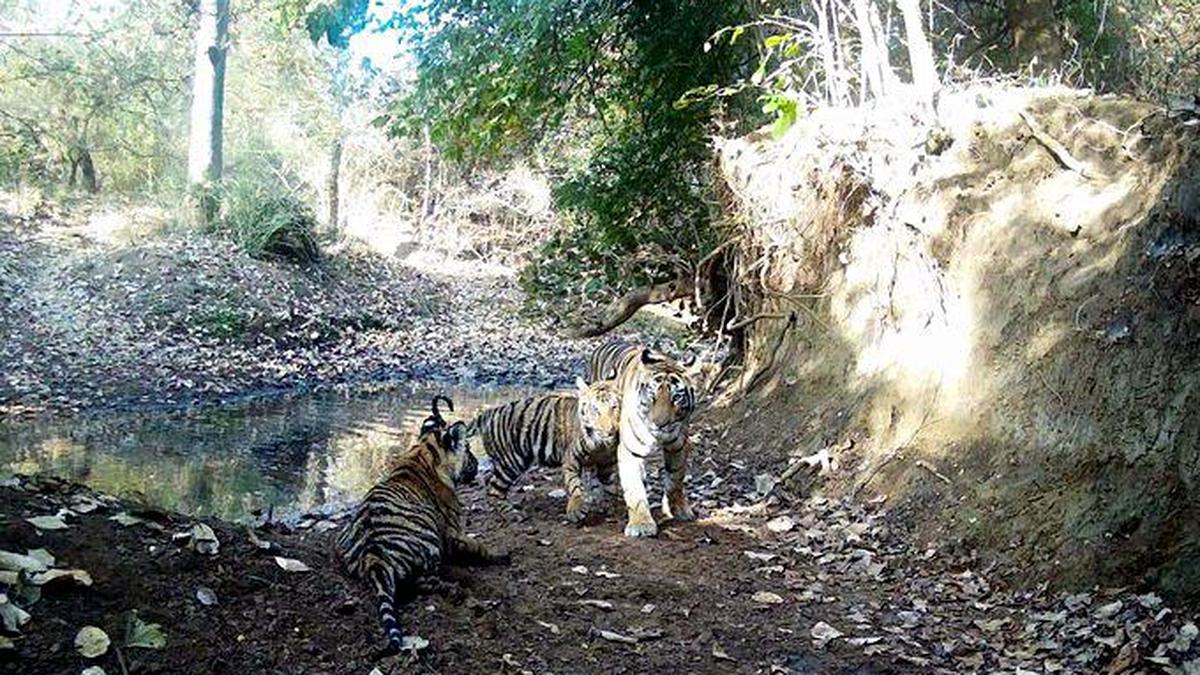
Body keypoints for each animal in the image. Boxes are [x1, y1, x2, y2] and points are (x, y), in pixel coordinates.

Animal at [335, 395, 508, 653]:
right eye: (467, 448)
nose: (478, 463)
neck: (423, 452)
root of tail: (373, 558)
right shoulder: (452, 532)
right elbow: (479, 546)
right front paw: (502, 554)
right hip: (430, 544)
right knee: (421, 582)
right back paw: (455, 590)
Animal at [467, 377, 622, 523]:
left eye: (614, 407)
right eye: (595, 410)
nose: (609, 431)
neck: (601, 445)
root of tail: (489, 412)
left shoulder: (607, 462)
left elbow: (609, 485)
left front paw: (607, 505)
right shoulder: (571, 459)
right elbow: (574, 484)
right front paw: (576, 510)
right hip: (510, 462)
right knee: (493, 490)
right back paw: (513, 514)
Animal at [586, 339, 698, 538]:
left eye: (676, 397)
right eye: (652, 395)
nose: (660, 424)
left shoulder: (678, 445)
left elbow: (676, 478)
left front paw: (678, 509)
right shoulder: (631, 450)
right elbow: (635, 489)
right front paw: (641, 524)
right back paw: (595, 496)